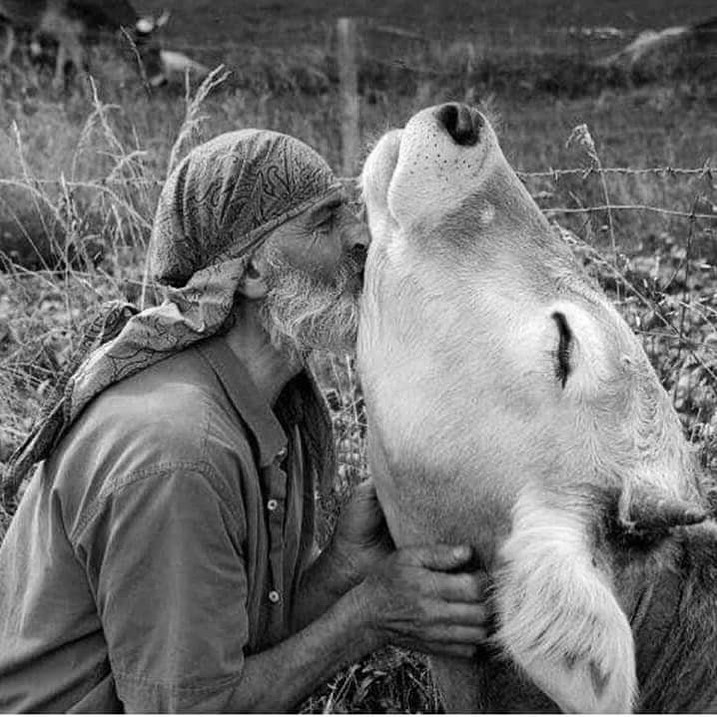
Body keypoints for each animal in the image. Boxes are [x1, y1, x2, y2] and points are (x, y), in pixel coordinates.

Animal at [0, 0, 167, 89]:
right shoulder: (66, 30)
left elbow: (62, 59)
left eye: (158, 48)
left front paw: (57, 87)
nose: (161, 81)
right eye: (139, 51)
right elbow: (81, 63)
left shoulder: (67, 33)